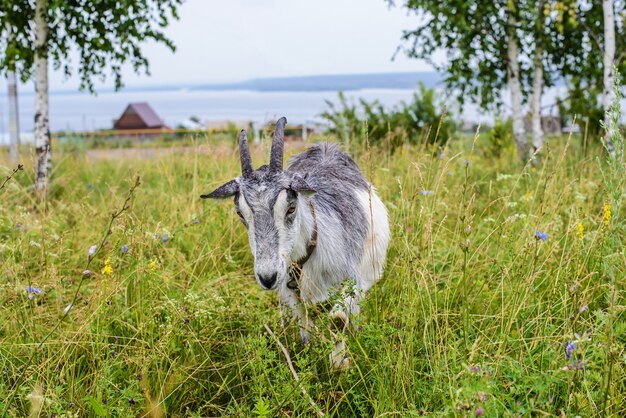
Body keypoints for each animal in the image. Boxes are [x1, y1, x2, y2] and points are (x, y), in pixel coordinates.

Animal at [200, 117, 388, 370]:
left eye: (290, 207)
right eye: (240, 213)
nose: (267, 277)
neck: (309, 253)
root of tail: (326, 147)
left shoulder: (352, 280)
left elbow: (337, 320)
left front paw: (340, 364)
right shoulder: (290, 291)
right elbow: (304, 327)